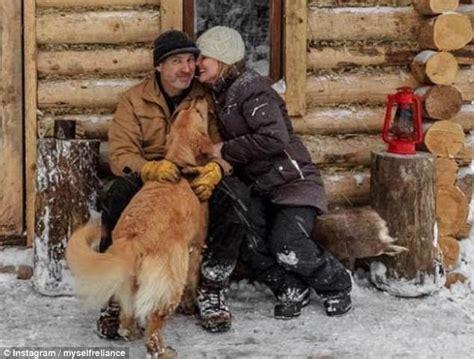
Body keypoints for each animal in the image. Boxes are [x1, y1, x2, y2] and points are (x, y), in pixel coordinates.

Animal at [66, 99, 213, 359]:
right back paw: (162, 350)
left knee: (126, 320)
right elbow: (193, 281)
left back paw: (132, 332)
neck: (178, 163)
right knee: (154, 326)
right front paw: (190, 305)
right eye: (197, 111)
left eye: (188, 109)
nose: (196, 98)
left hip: (129, 284)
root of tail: (132, 240)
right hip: (169, 283)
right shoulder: (196, 247)